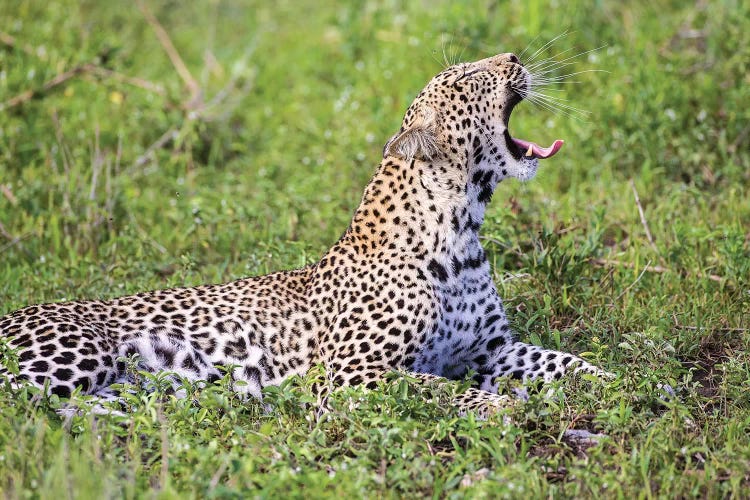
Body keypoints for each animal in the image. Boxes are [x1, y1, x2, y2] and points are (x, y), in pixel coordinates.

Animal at [0, 52, 612, 416]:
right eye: (466, 79)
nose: (513, 56)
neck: (461, 232)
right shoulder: (348, 374)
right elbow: (434, 387)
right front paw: (504, 409)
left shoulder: (491, 349)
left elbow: (563, 361)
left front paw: (615, 382)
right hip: (74, 358)